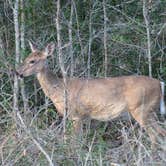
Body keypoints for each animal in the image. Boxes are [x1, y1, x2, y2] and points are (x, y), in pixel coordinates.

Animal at [17, 41, 166, 148]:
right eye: (26, 58)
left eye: (33, 61)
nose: (17, 72)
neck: (59, 89)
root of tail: (160, 84)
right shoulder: (84, 117)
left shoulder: (76, 115)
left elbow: (75, 142)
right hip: (150, 111)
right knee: (160, 134)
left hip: (141, 108)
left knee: (155, 135)